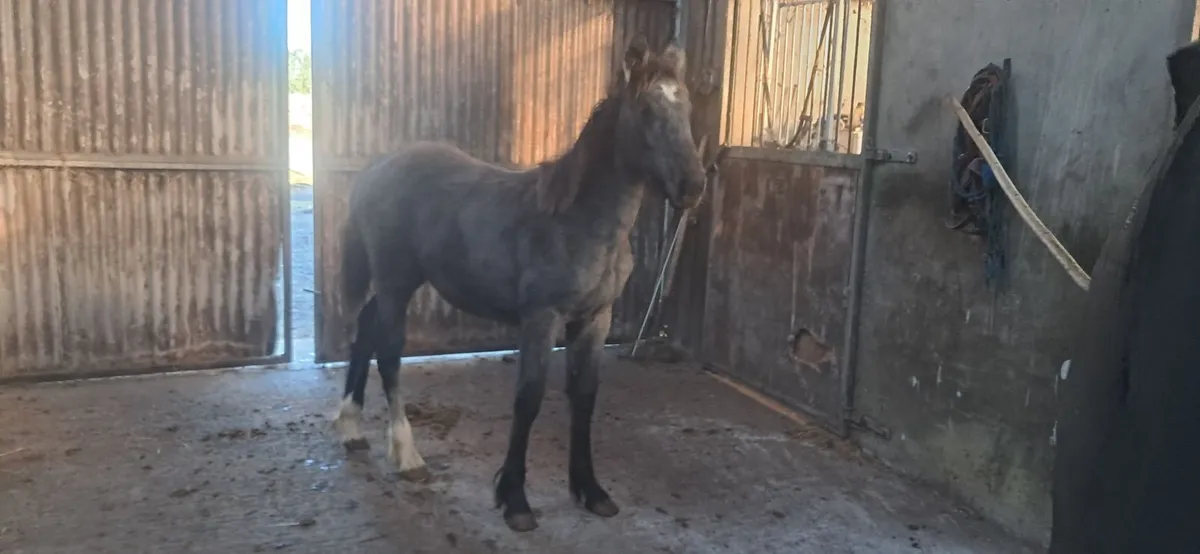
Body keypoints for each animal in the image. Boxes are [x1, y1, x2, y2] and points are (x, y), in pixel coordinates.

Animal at [331, 37, 707, 532]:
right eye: (645, 110)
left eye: (686, 107)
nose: (692, 186)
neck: (579, 220)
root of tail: (377, 169)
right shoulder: (541, 319)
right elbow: (528, 398)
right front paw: (514, 500)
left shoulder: (594, 319)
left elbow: (584, 397)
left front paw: (591, 491)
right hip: (396, 282)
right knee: (389, 354)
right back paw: (407, 455)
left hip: (401, 283)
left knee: (366, 330)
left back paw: (352, 428)